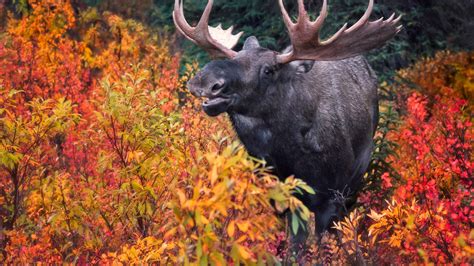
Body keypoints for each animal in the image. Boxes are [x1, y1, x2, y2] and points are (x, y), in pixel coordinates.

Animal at [172, 0, 402, 246]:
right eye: (235, 58)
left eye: (269, 70)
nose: (206, 79)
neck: (289, 155)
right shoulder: (278, 194)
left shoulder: (332, 195)